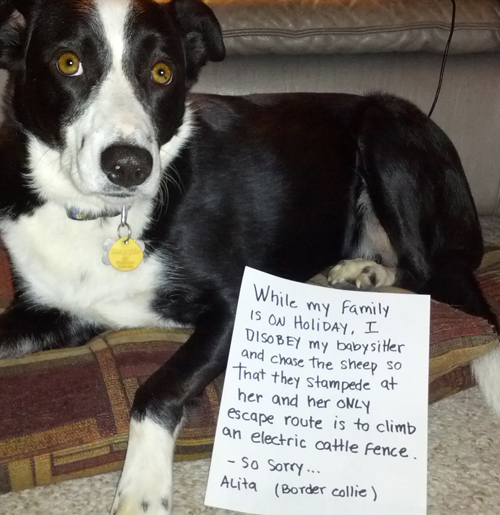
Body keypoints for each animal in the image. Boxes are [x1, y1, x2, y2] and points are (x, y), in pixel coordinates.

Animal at [0, 0, 496, 512]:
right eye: (68, 63)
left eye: (162, 72)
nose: (129, 166)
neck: (103, 218)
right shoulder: (51, 312)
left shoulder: (236, 302)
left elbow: (158, 387)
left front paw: (142, 487)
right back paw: (363, 270)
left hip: (386, 129)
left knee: (433, 278)